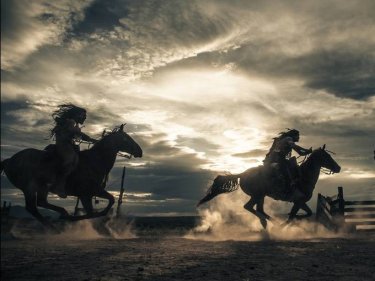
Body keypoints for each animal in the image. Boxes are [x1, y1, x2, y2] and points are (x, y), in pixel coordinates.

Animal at [0, 124, 142, 225]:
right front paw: (70, 219)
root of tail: (9, 161)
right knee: (32, 207)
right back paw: (55, 223)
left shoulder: (90, 193)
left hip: (41, 188)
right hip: (29, 188)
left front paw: (67, 217)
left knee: (40, 203)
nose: (140, 151)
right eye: (127, 138)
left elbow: (100, 208)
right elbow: (98, 209)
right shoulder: (88, 193)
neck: (94, 160)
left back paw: (59, 217)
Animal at [198, 144, 342, 228]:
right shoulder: (298, 201)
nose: (338, 168)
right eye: (327, 156)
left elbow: (307, 213)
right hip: (257, 195)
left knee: (258, 209)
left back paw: (267, 221)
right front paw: (286, 224)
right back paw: (269, 221)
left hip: (261, 196)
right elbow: (292, 217)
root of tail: (243, 174)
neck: (304, 176)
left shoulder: (300, 202)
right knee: (249, 207)